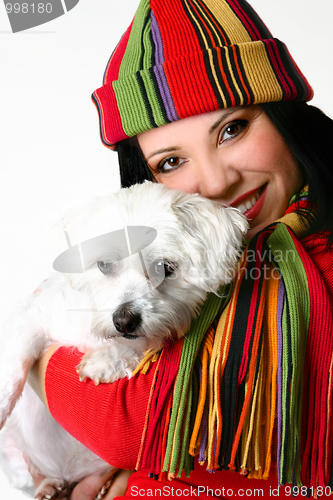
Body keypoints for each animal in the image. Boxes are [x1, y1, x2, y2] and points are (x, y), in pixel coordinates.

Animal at [0, 182, 246, 498]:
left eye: (164, 268)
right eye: (104, 265)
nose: (124, 320)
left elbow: (141, 347)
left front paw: (106, 359)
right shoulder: (34, 315)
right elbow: (13, 367)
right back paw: (48, 484)